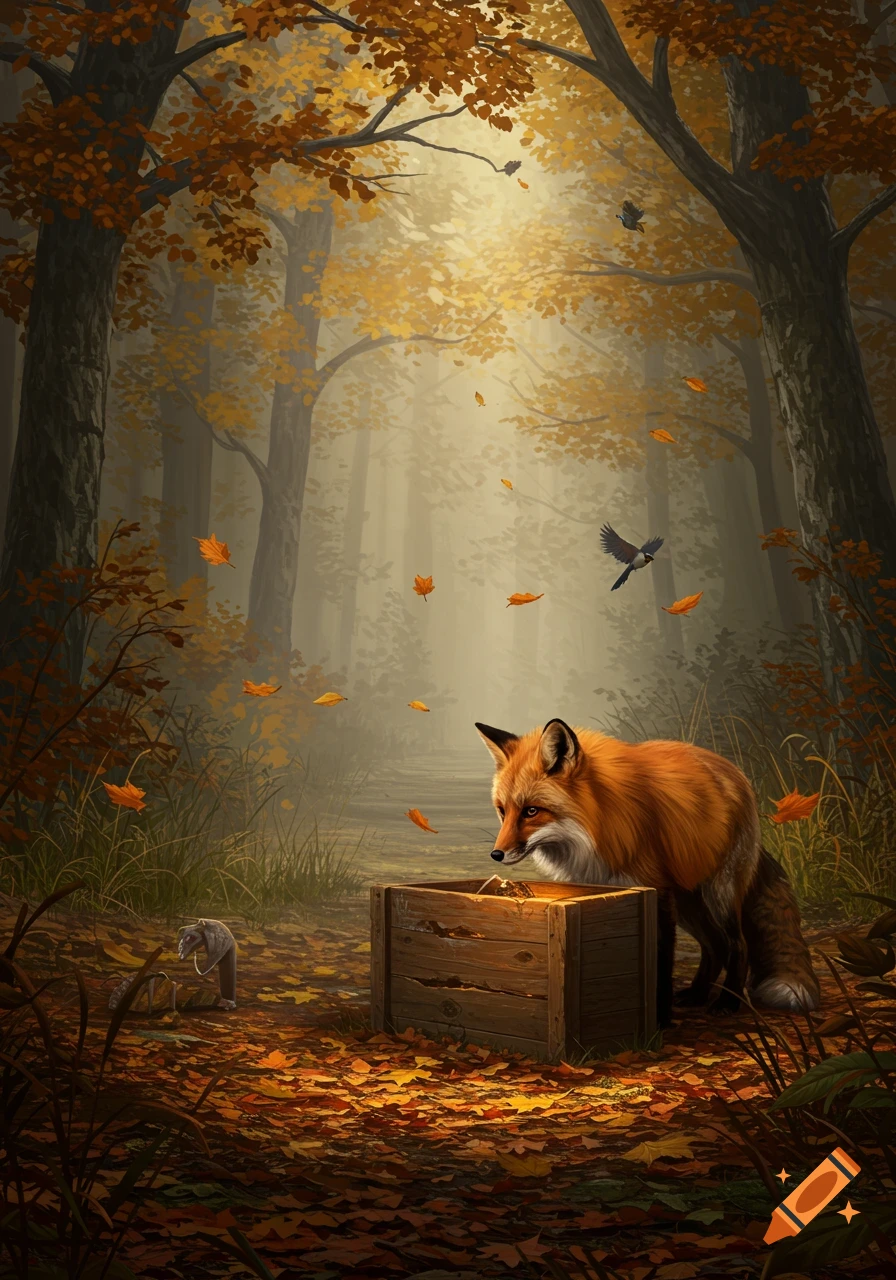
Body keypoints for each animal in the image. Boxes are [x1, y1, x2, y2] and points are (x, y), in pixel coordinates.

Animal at [475, 717, 820, 1027]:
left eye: (531, 811)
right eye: (503, 811)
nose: (496, 854)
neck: (598, 822)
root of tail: (736, 775)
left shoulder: (657, 893)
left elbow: (660, 963)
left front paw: (659, 1020)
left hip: (717, 895)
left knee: (738, 944)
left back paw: (727, 1003)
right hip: (690, 903)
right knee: (715, 947)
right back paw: (697, 994)